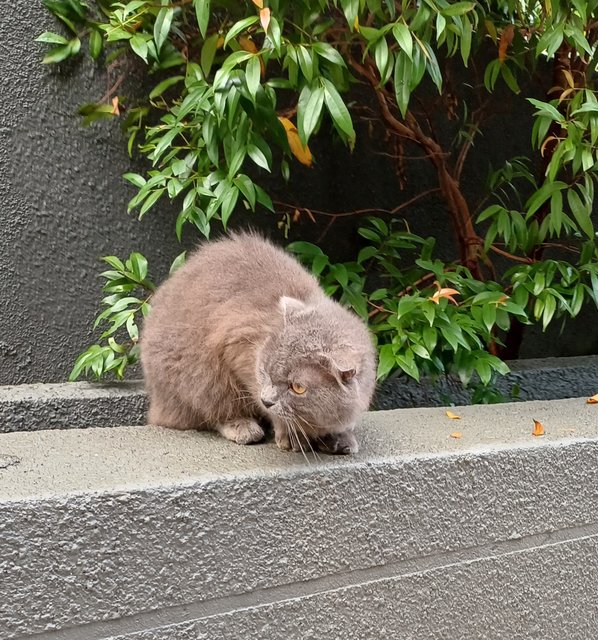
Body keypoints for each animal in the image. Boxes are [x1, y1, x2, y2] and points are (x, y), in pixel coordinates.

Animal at [141, 234, 378, 456]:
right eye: (265, 370)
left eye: (298, 387)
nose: (267, 400)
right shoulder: (236, 342)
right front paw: (292, 434)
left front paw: (338, 436)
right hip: (200, 375)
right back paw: (243, 427)